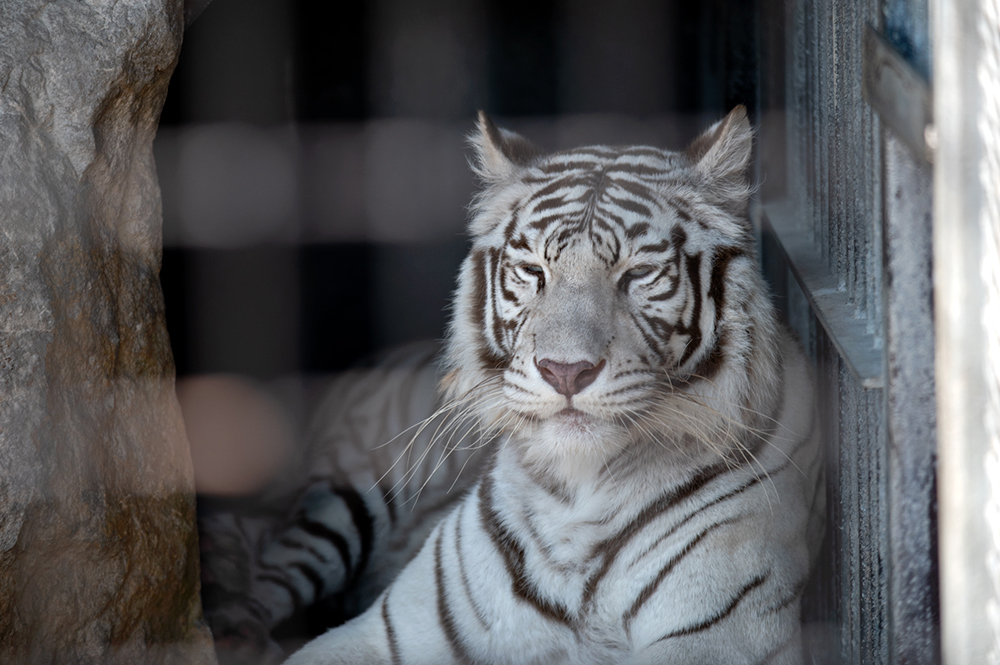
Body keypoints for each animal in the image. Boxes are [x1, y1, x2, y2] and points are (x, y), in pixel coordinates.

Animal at [280, 109, 820, 664]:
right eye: (532, 271)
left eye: (639, 273)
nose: (565, 371)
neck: (578, 492)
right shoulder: (392, 629)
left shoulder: (718, 637)